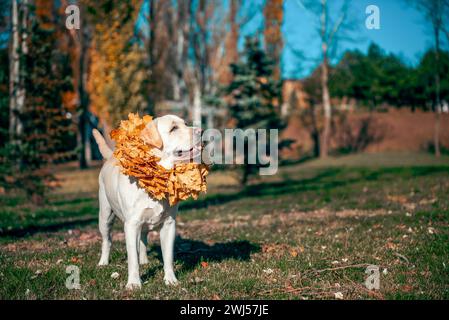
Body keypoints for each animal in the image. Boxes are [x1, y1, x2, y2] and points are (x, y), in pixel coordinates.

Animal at [93, 115, 201, 290]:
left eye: (185, 123)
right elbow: (132, 259)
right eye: (173, 128)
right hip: (105, 216)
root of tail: (111, 157)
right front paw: (133, 283)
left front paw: (171, 279)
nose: (201, 131)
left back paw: (144, 259)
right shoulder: (131, 225)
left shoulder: (169, 224)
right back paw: (103, 262)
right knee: (107, 240)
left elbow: (168, 256)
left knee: (143, 239)